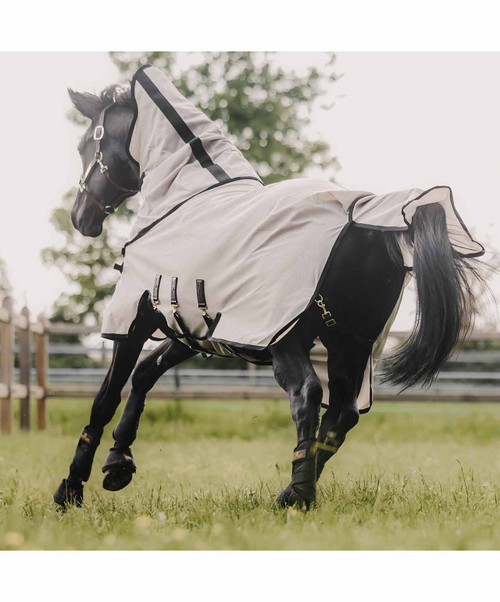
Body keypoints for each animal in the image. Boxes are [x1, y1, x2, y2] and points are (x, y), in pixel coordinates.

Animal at [53, 68, 484, 508]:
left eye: (86, 144)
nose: (80, 218)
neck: (185, 199)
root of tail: (364, 215)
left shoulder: (135, 319)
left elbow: (106, 397)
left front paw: (72, 488)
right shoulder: (195, 328)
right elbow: (144, 375)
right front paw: (118, 463)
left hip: (292, 340)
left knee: (308, 396)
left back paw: (297, 496)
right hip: (349, 343)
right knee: (341, 414)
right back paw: (292, 490)